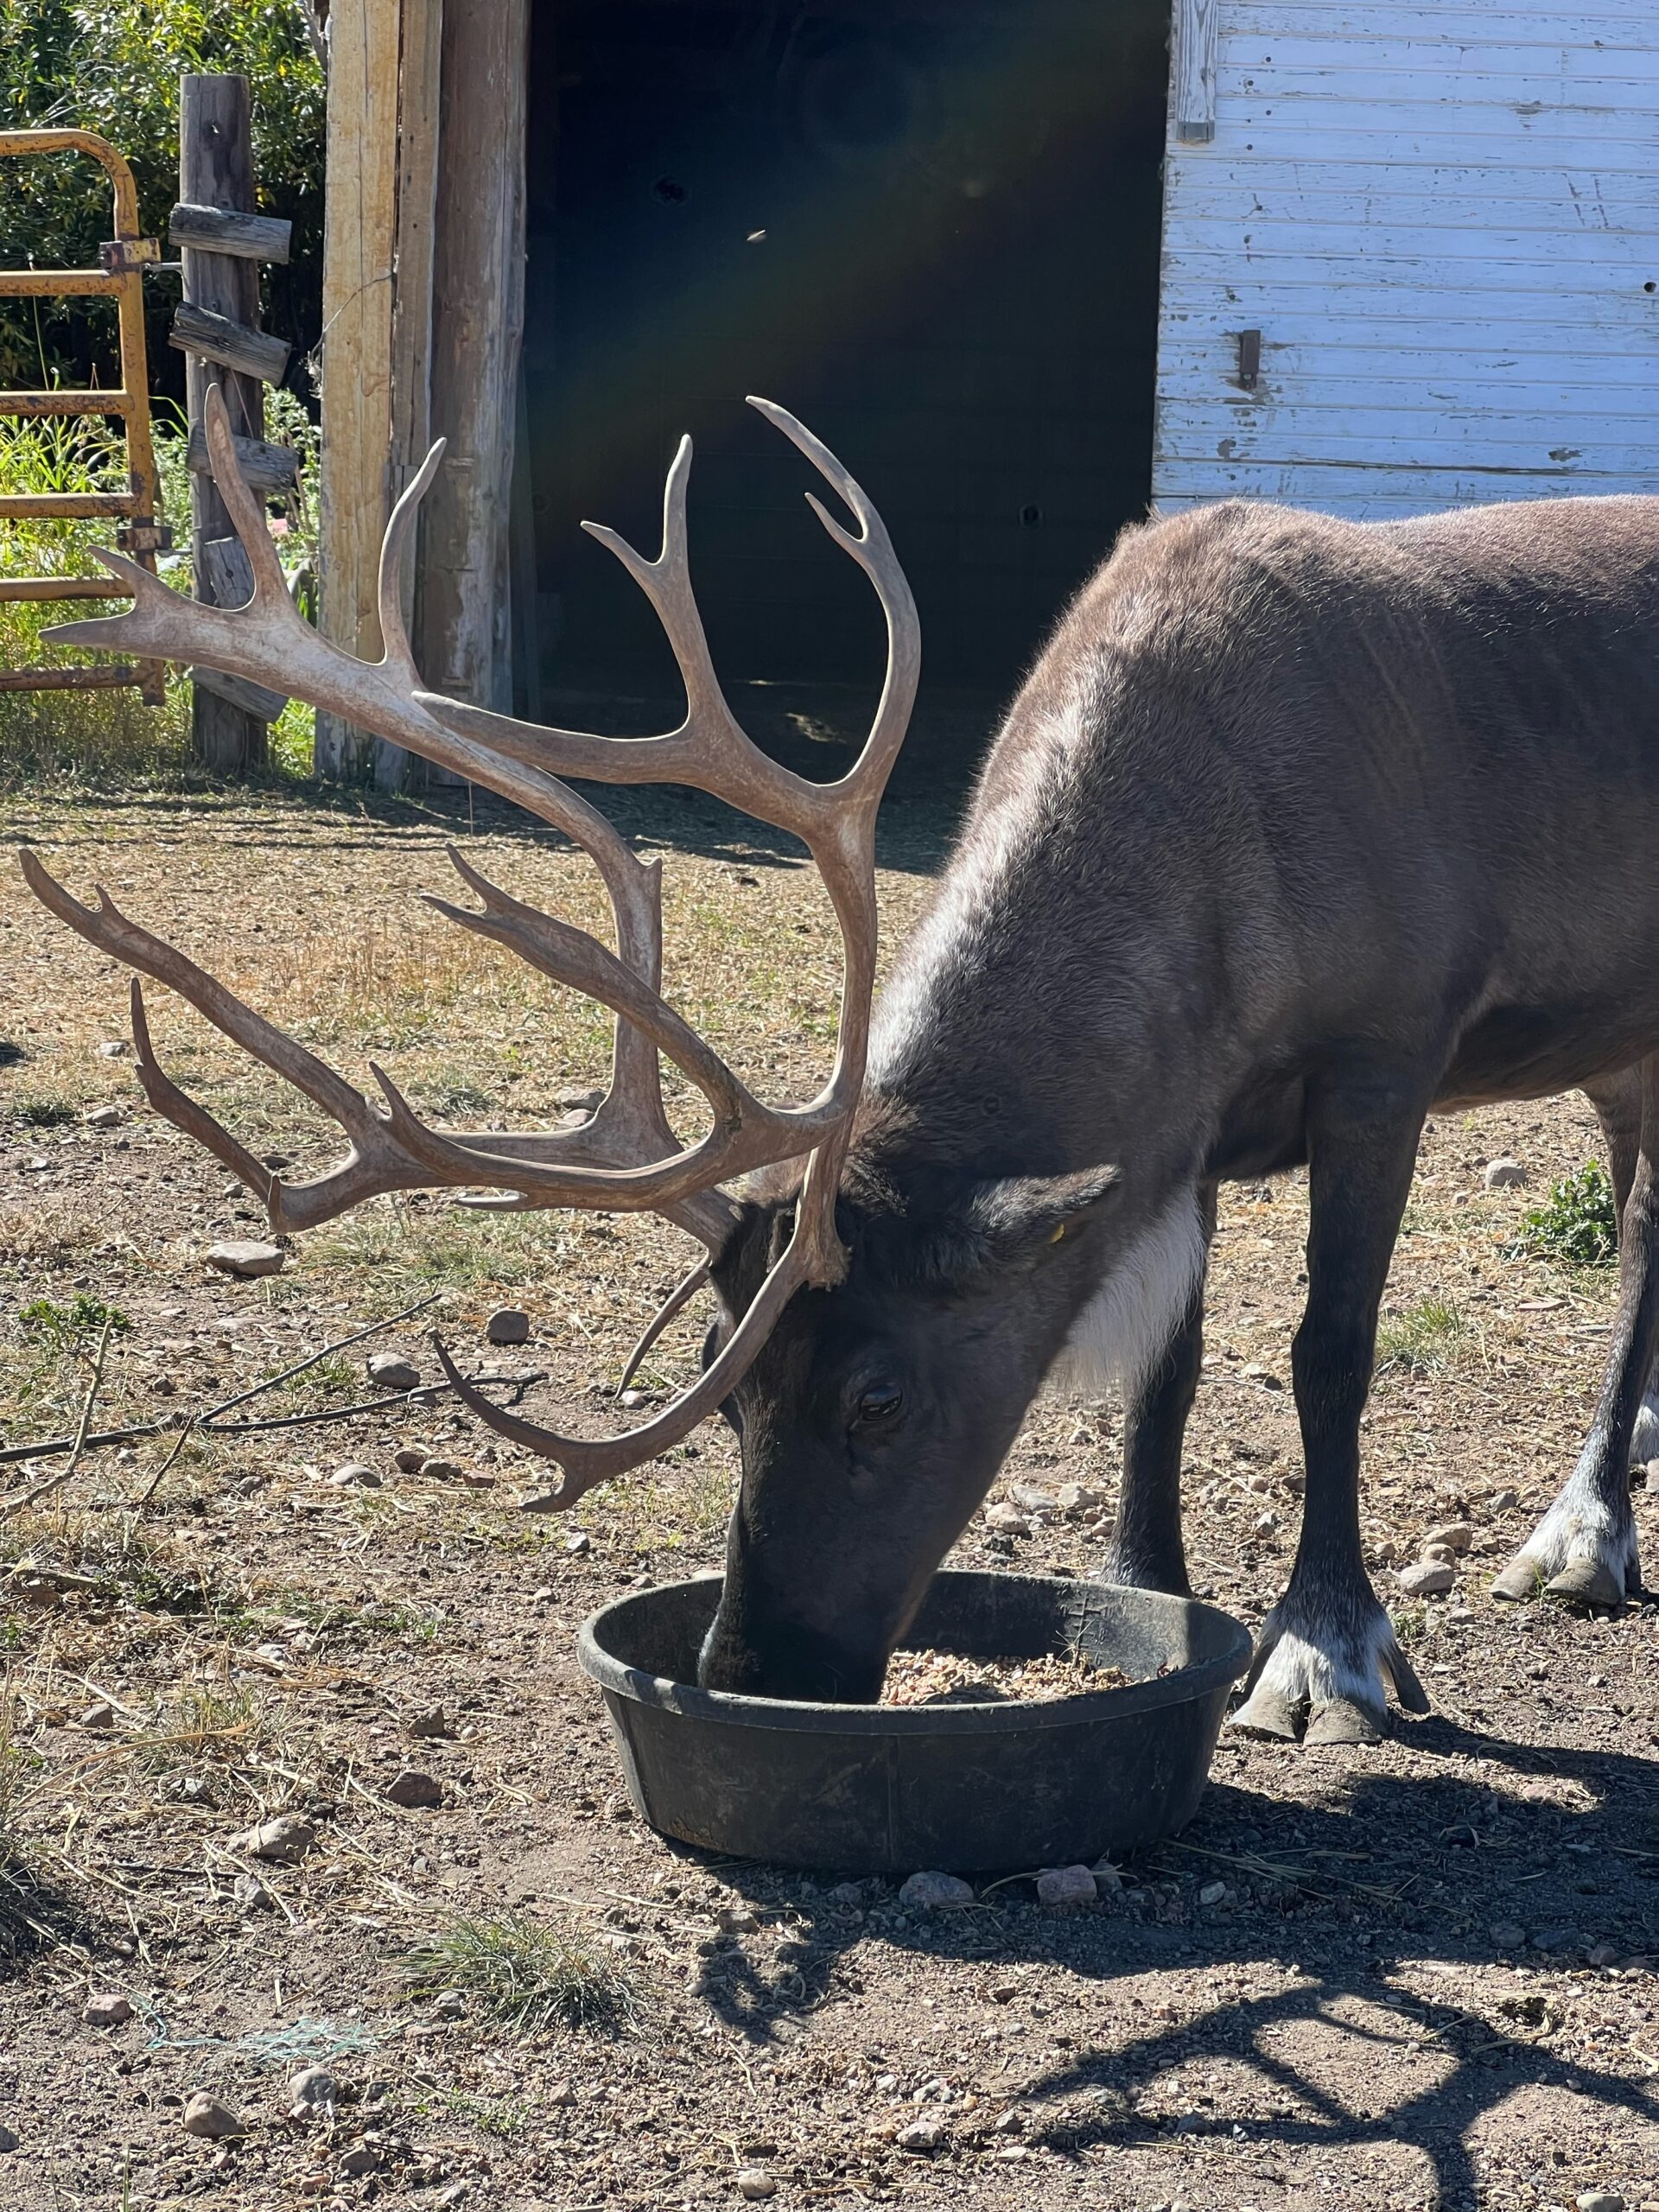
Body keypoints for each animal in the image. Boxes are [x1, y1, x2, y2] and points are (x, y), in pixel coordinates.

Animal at [21, 385, 1655, 1746]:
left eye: (878, 1399)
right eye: (728, 1387)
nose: (760, 1669)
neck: (1211, 845)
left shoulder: (1389, 1050)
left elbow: (1329, 1351)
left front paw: (1326, 1649)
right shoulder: (1178, 1129)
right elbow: (1167, 1372)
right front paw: (1146, 1573)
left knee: (1632, 1244)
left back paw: (1584, 1531)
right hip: (1621, 1050)